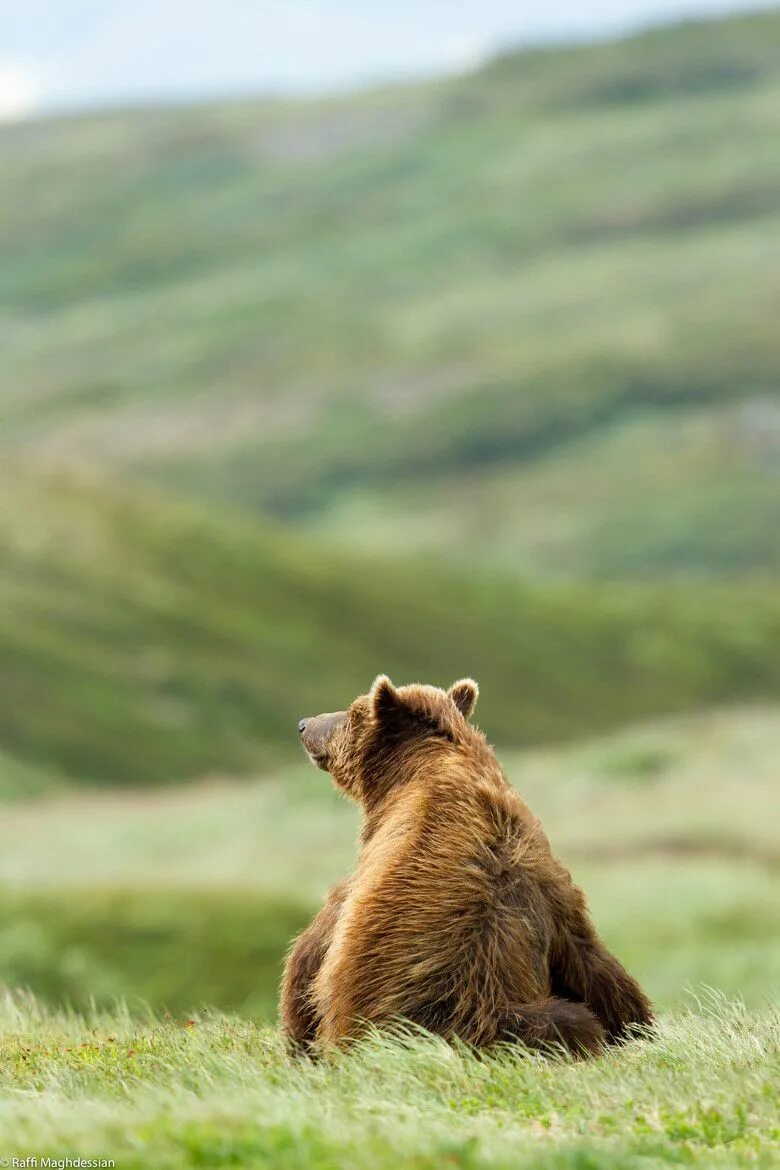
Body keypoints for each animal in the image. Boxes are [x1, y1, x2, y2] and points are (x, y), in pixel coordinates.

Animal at [281, 673, 654, 1057]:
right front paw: (637, 1028)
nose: (304, 724)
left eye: (353, 712)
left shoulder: (369, 870)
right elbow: (592, 959)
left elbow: (315, 945)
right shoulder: (550, 880)